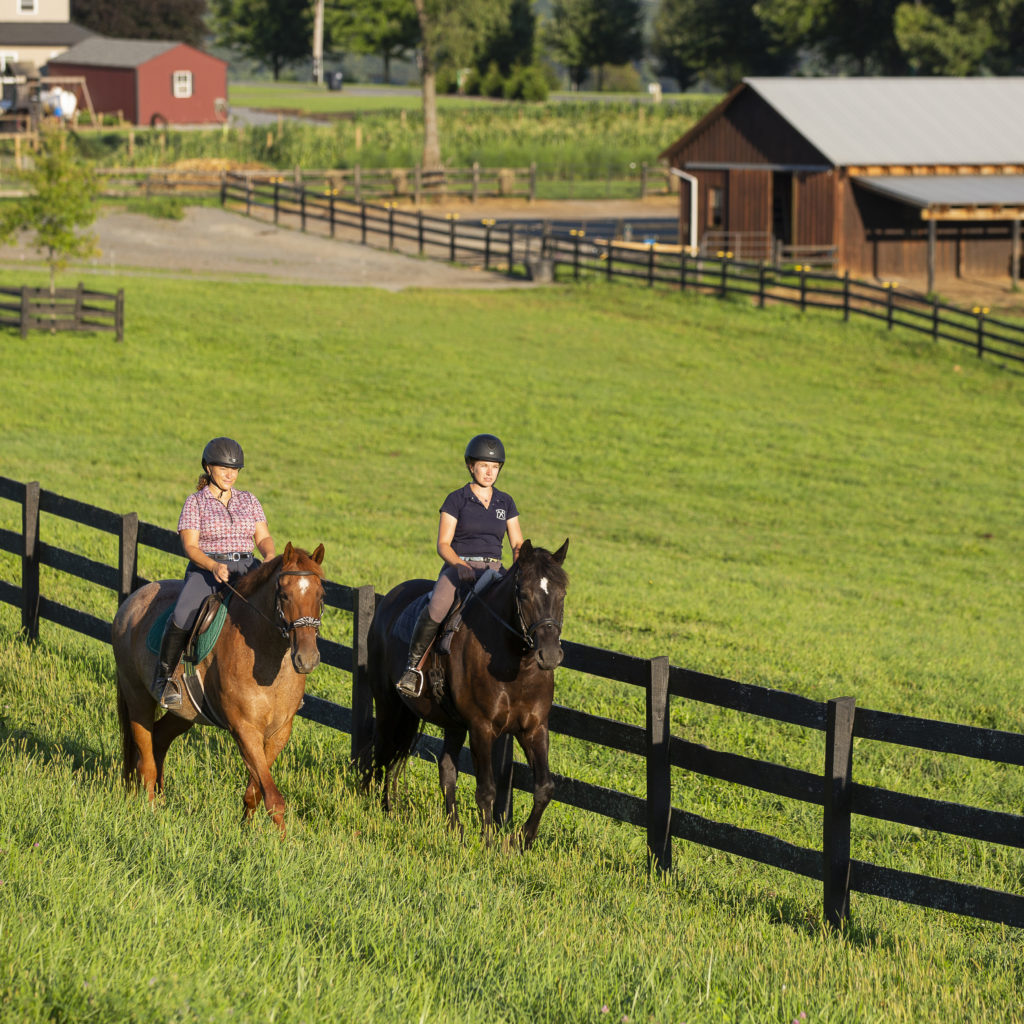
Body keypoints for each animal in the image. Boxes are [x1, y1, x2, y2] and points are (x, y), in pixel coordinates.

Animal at [111, 544, 323, 831]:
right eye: (285, 595)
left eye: (321, 595)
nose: (307, 659)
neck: (265, 657)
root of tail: (132, 601)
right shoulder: (244, 729)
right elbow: (273, 798)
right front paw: (281, 840)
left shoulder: (280, 732)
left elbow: (256, 791)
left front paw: (247, 832)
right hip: (137, 697)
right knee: (146, 761)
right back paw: (151, 812)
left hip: (185, 714)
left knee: (159, 740)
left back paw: (162, 803)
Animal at [368, 536, 573, 847]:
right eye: (524, 594)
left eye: (562, 594)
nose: (549, 655)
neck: (515, 666)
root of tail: (390, 598)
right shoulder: (481, 728)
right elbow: (486, 789)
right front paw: (488, 842)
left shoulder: (534, 728)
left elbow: (545, 787)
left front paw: (523, 840)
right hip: (388, 703)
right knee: (384, 751)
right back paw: (383, 808)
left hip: (451, 723)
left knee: (445, 770)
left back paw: (454, 828)